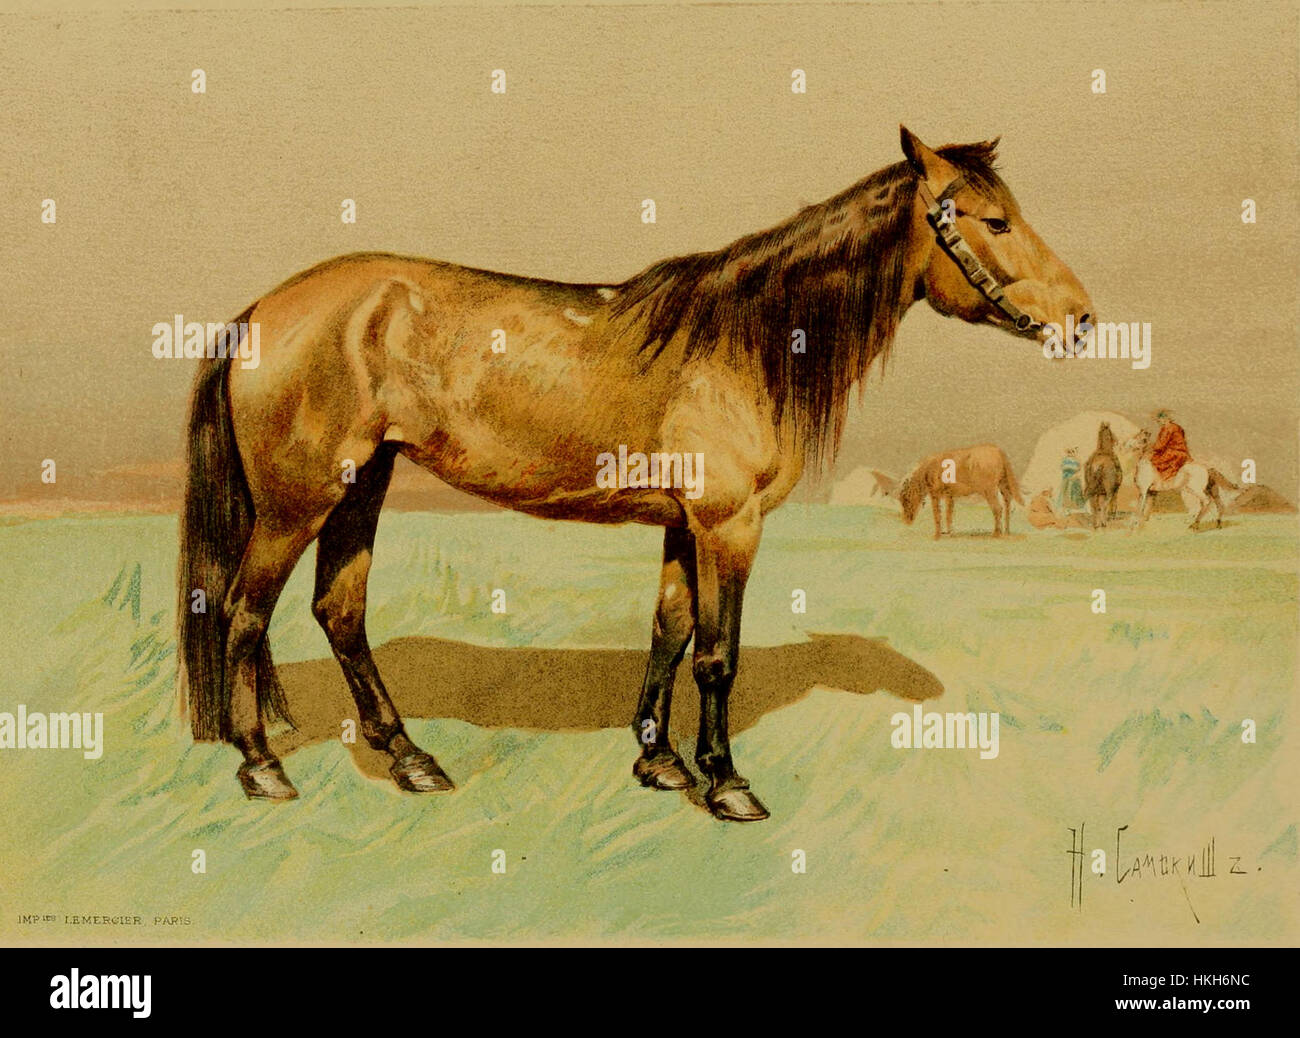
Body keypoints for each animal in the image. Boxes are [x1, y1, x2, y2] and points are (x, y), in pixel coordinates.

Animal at [177, 126, 1092, 822]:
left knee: (339, 612)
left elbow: (669, 630)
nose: (1082, 319)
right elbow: (718, 655)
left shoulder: (684, 526)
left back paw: (409, 757)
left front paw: (660, 763)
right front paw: (726, 783)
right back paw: (261, 766)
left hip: (361, 487)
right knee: (244, 612)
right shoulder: (729, 524)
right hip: (297, 502)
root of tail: (261, 311)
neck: (743, 341)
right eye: (993, 221)